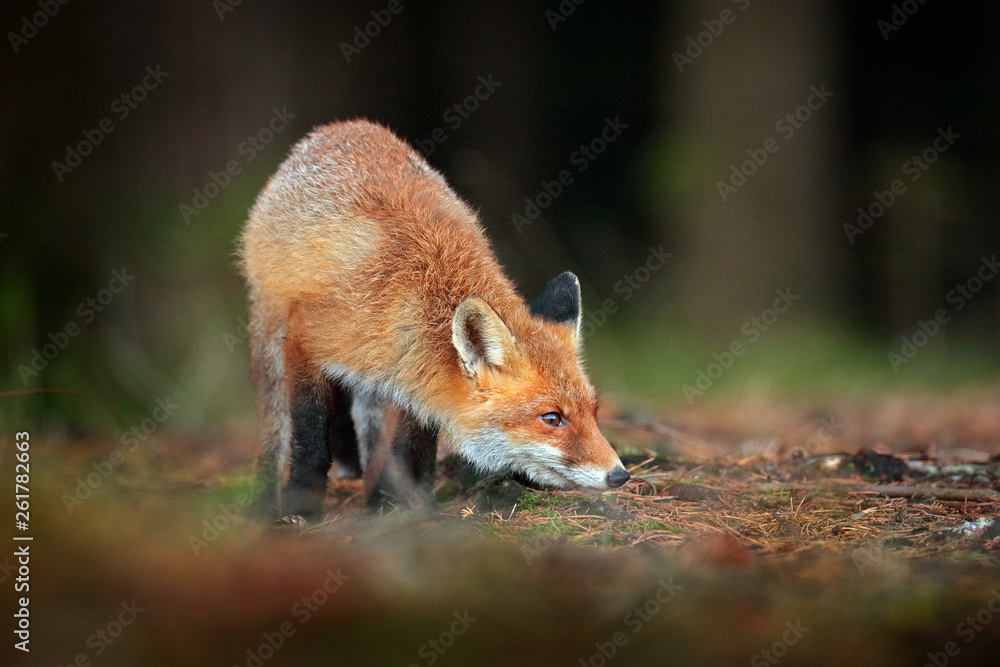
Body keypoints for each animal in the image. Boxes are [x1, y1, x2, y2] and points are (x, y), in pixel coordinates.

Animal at [239, 119, 630, 519]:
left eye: (594, 411)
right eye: (552, 418)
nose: (619, 475)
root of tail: (345, 126)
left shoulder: (419, 374)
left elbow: (416, 449)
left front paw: (416, 508)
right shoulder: (306, 339)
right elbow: (311, 437)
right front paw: (300, 506)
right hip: (270, 332)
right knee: (276, 425)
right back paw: (267, 493)